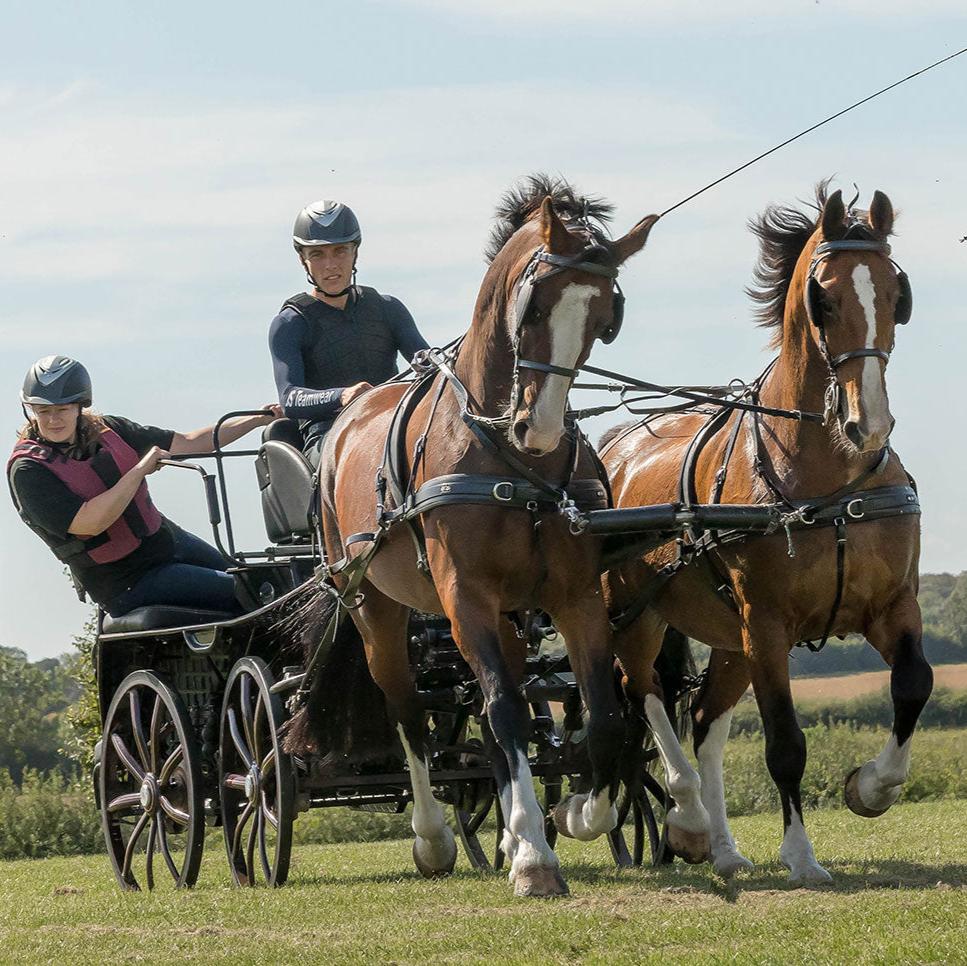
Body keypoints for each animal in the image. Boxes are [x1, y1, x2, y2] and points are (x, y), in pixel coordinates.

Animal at [290, 176, 656, 900]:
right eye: (533, 305)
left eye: (605, 319)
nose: (538, 430)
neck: (506, 460)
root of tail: (348, 417)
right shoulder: (465, 599)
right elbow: (505, 712)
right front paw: (535, 861)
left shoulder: (575, 596)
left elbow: (602, 714)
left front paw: (576, 812)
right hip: (373, 608)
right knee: (407, 711)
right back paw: (434, 839)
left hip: (511, 616)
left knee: (493, 707)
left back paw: (515, 827)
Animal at [596, 185, 932, 888]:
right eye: (823, 298)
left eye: (897, 294)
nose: (869, 423)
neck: (832, 481)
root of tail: (616, 449)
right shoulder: (769, 623)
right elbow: (784, 743)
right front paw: (802, 856)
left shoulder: (891, 606)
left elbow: (914, 685)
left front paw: (871, 787)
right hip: (637, 617)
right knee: (642, 696)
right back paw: (682, 816)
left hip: (729, 638)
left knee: (703, 721)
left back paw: (722, 848)